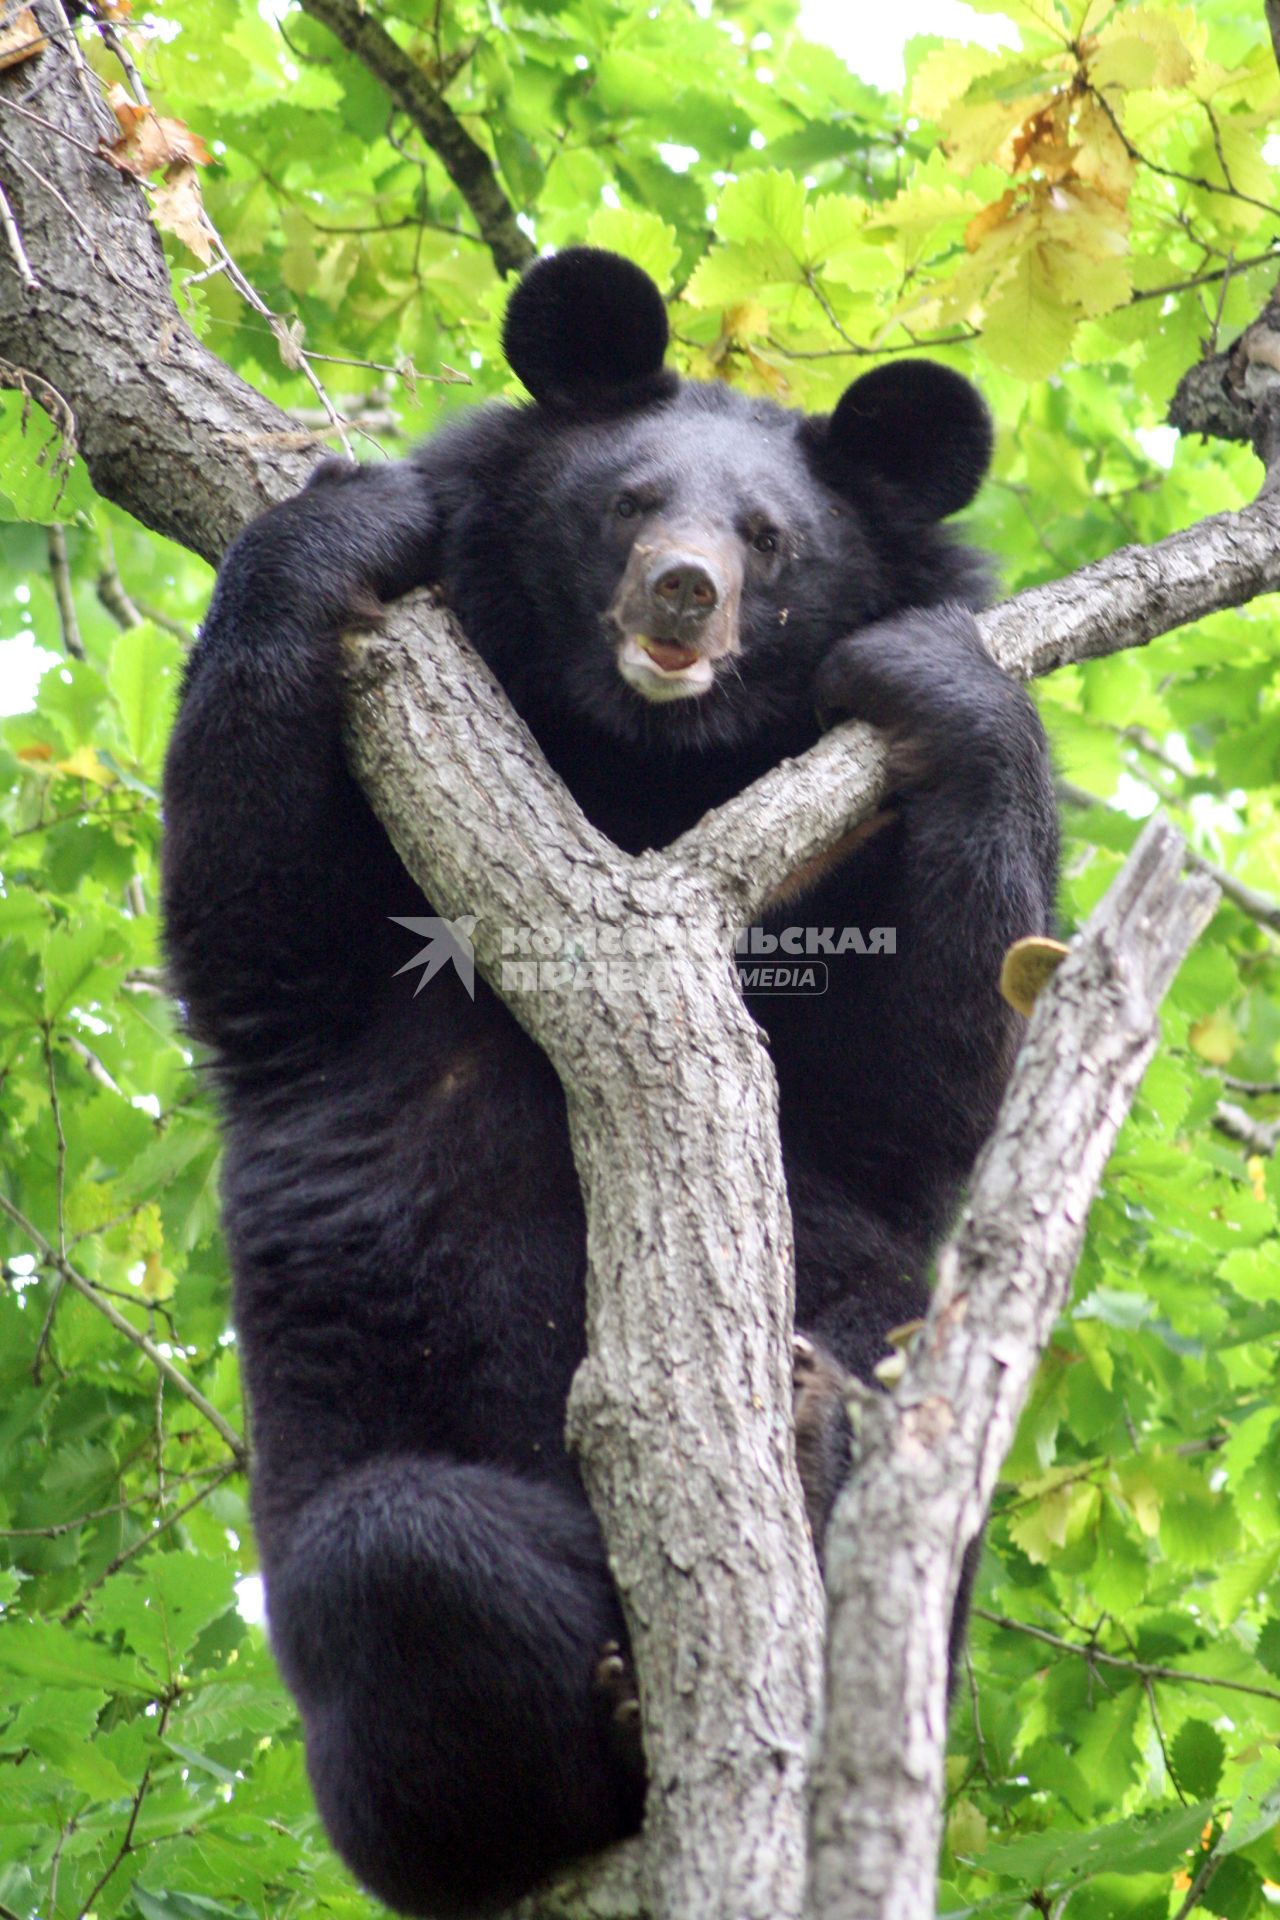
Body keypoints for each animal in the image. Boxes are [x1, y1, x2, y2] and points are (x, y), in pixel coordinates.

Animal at [160, 251, 1059, 1920]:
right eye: (628, 502)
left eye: (771, 539)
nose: (681, 593)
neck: (639, 770)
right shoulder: (342, 955)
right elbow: (254, 907)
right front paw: (348, 521)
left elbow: (933, 1062)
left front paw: (934, 684)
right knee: (402, 1555)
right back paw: (608, 1721)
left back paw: (812, 1447)